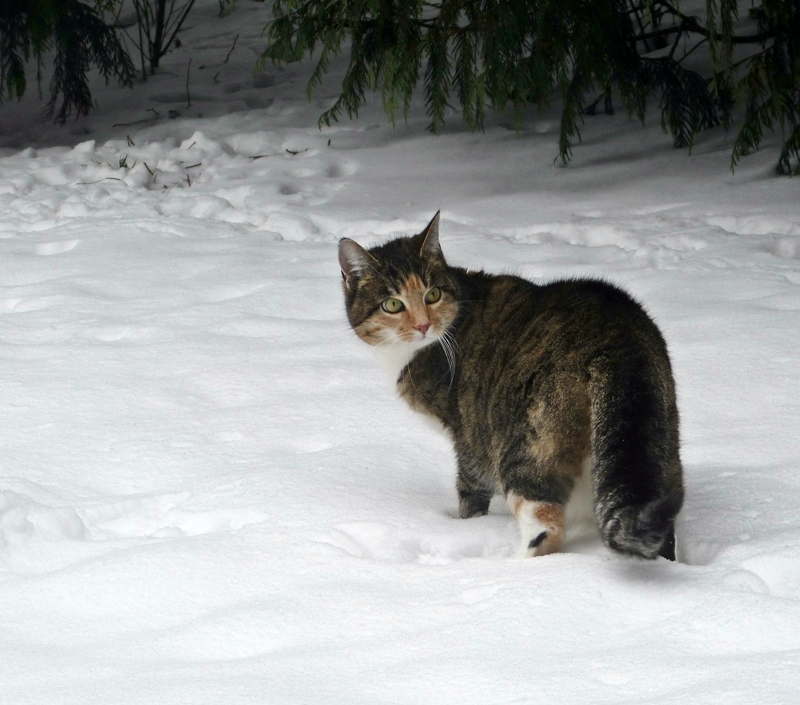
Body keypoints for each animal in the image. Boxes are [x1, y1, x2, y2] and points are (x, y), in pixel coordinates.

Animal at [336, 212, 680, 560]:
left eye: (432, 294)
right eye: (392, 305)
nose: (423, 325)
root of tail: (616, 338)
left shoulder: (468, 436)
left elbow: (470, 489)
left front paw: (468, 524)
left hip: (525, 447)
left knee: (546, 525)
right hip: (656, 444)